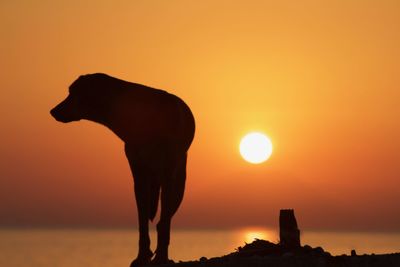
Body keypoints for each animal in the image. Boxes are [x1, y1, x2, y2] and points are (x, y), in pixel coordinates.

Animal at [51, 73, 195, 266]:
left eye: (73, 93)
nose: (53, 111)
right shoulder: (139, 175)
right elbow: (142, 224)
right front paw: (142, 256)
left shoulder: (167, 174)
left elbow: (163, 223)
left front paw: (161, 258)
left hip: (178, 183)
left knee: (164, 220)